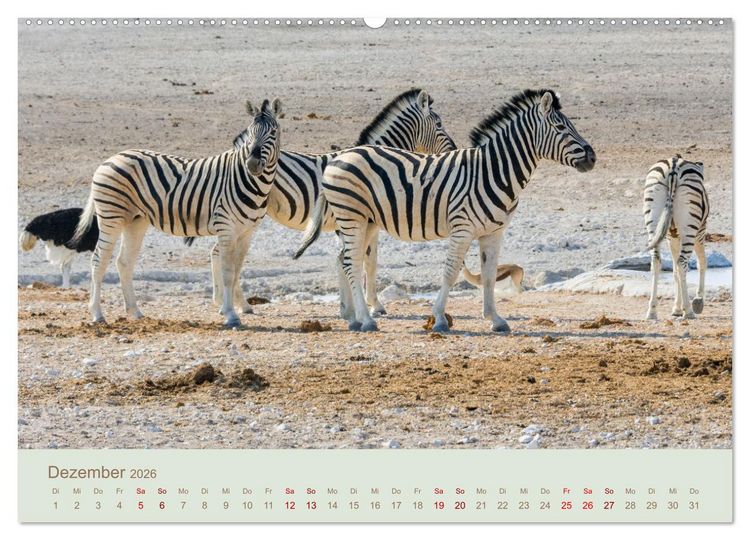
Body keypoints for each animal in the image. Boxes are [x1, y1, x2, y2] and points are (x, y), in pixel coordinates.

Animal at [71, 98, 283, 327]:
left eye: (273, 132)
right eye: (251, 132)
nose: (252, 164)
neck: (245, 179)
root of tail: (111, 158)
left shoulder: (247, 233)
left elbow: (236, 272)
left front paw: (234, 309)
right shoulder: (226, 228)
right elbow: (227, 273)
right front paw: (230, 315)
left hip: (135, 220)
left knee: (124, 262)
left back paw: (135, 312)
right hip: (111, 215)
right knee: (98, 260)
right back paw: (97, 314)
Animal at [201, 89, 456, 318]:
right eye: (439, 124)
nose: (454, 149)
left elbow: (354, 261)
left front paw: (351, 307)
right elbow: (367, 262)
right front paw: (372, 306)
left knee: (218, 251)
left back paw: (230, 302)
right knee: (221, 252)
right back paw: (233, 303)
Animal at [295, 89, 596, 332]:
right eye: (560, 126)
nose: (592, 157)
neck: (492, 171)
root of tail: (340, 156)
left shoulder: (493, 232)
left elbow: (489, 275)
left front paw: (495, 319)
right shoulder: (463, 229)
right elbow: (451, 272)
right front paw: (439, 319)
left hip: (366, 221)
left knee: (346, 261)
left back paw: (355, 318)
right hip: (352, 217)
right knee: (351, 262)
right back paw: (367, 321)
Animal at [643, 155, 709, 320]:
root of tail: (673, 167)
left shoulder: (671, 238)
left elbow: (674, 273)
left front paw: (676, 308)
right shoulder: (700, 232)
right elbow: (702, 262)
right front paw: (697, 301)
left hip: (653, 222)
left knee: (656, 261)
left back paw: (652, 311)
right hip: (690, 229)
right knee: (682, 263)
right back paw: (689, 311)